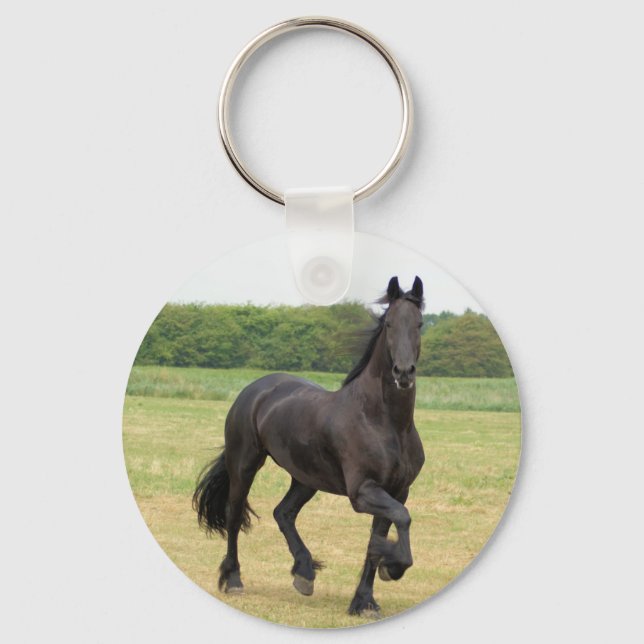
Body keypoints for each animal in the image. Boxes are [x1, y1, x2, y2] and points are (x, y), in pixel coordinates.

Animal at [193, 276, 426, 617]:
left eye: (420, 324)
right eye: (389, 324)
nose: (404, 372)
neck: (386, 423)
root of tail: (256, 389)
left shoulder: (397, 490)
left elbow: (379, 536)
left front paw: (364, 600)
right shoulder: (363, 492)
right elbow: (403, 518)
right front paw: (392, 567)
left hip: (305, 478)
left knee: (283, 513)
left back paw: (304, 573)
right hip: (245, 464)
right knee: (234, 515)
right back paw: (233, 579)